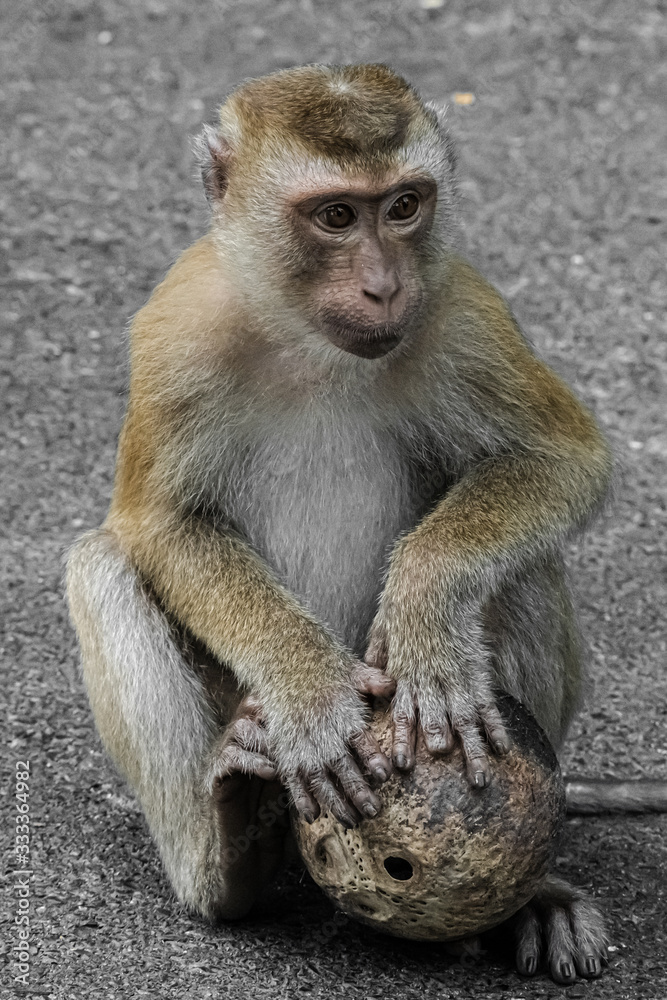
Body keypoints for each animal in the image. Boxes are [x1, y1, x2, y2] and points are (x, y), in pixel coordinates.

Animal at [66, 64, 616, 984]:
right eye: (334, 216)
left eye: (403, 206)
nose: (384, 286)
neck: (307, 342)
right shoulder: (177, 329)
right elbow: (159, 523)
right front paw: (312, 691)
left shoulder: (458, 308)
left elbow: (558, 458)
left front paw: (426, 604)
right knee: (99, 564)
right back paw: (231, 848)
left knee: (524, 564)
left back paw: (533, 897)